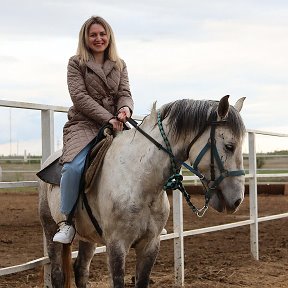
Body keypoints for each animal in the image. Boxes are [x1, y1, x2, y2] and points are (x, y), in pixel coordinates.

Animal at [38, 95, 245, 286]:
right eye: (229, 146)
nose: (237, 200)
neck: (139, 179)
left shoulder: (150, 245)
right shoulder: (117, 245)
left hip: (88, 237)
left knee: (81, 269)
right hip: (50, 230)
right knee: (57, 274)